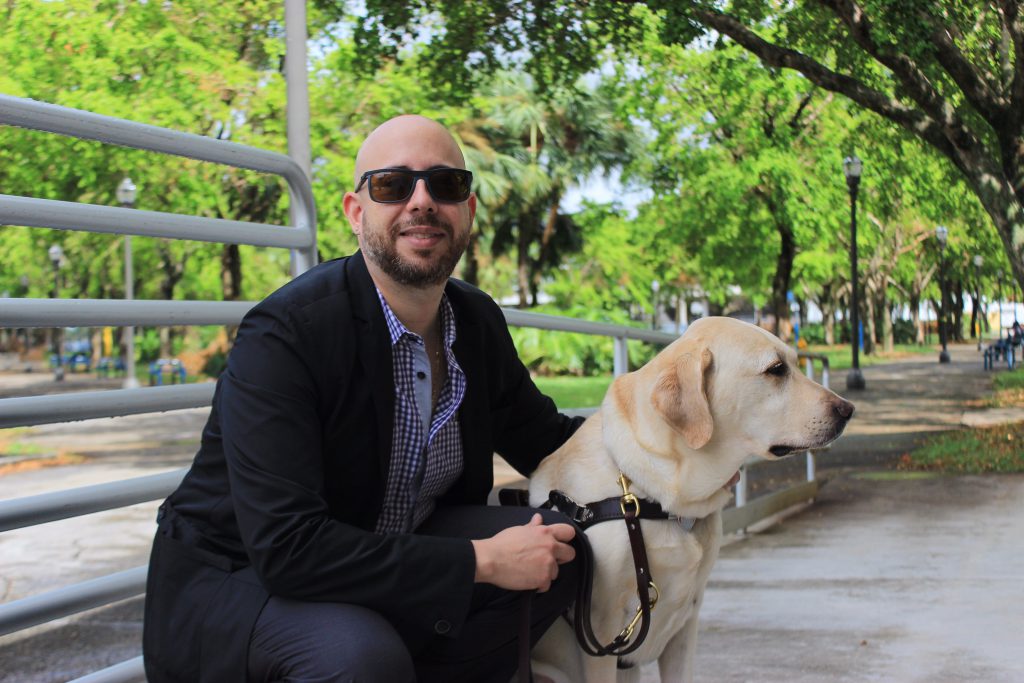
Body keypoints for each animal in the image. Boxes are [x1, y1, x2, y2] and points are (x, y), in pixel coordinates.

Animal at [524, 317, 851, 679]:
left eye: (793, 362)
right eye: (776, 369)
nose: (848, 409)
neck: (655, 500)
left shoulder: (685, 625)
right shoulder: (600, 636)